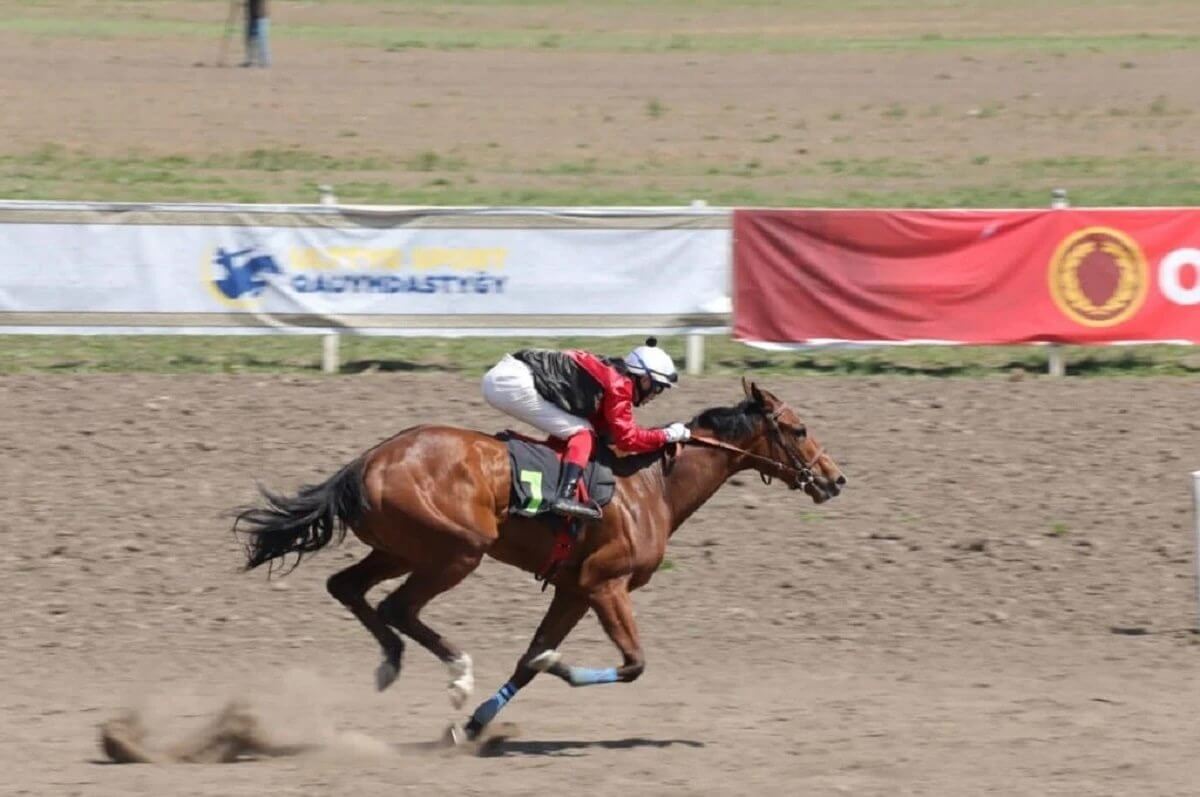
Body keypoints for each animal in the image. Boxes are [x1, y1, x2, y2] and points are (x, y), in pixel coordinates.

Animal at [234, 376, 849, 744]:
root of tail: (369, 460)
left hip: (396, 546)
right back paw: (456, 673)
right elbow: (630, 664)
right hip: (457, 549)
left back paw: (391, 663)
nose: (836, 479)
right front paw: (552, 669)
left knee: (348, 588)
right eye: (798, 429)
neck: (650, 484)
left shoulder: (574, 589)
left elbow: (527, 662)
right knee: (398, 607)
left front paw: (474, 726)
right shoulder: (606, 585)